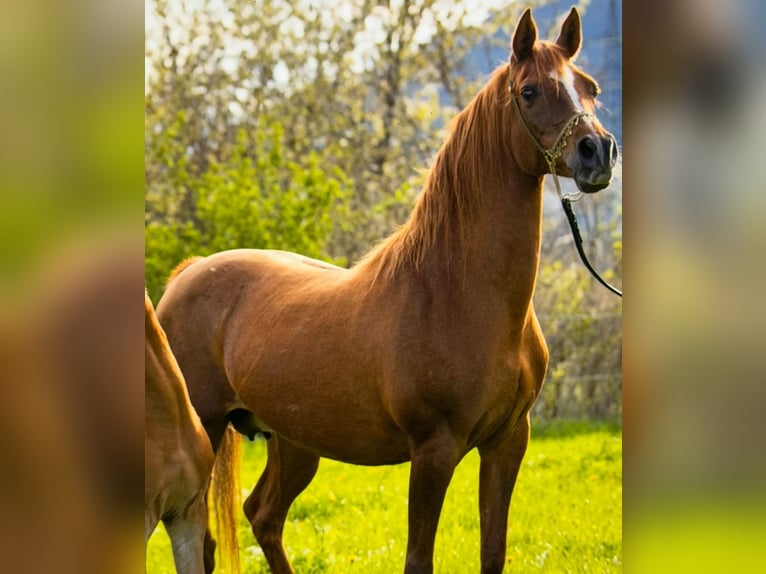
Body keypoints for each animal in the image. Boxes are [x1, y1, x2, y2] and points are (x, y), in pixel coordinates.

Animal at [156, 7, 618, 573]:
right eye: (529, 91)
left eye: (590, 87)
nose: (598, 152)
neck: (458, 294)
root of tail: (189, 272)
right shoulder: (433, 451)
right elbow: (418, 559)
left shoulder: (508, 441)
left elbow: (494, 551)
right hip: (207, 429)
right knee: (204, 540)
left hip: (295, 442)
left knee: (262, 515)